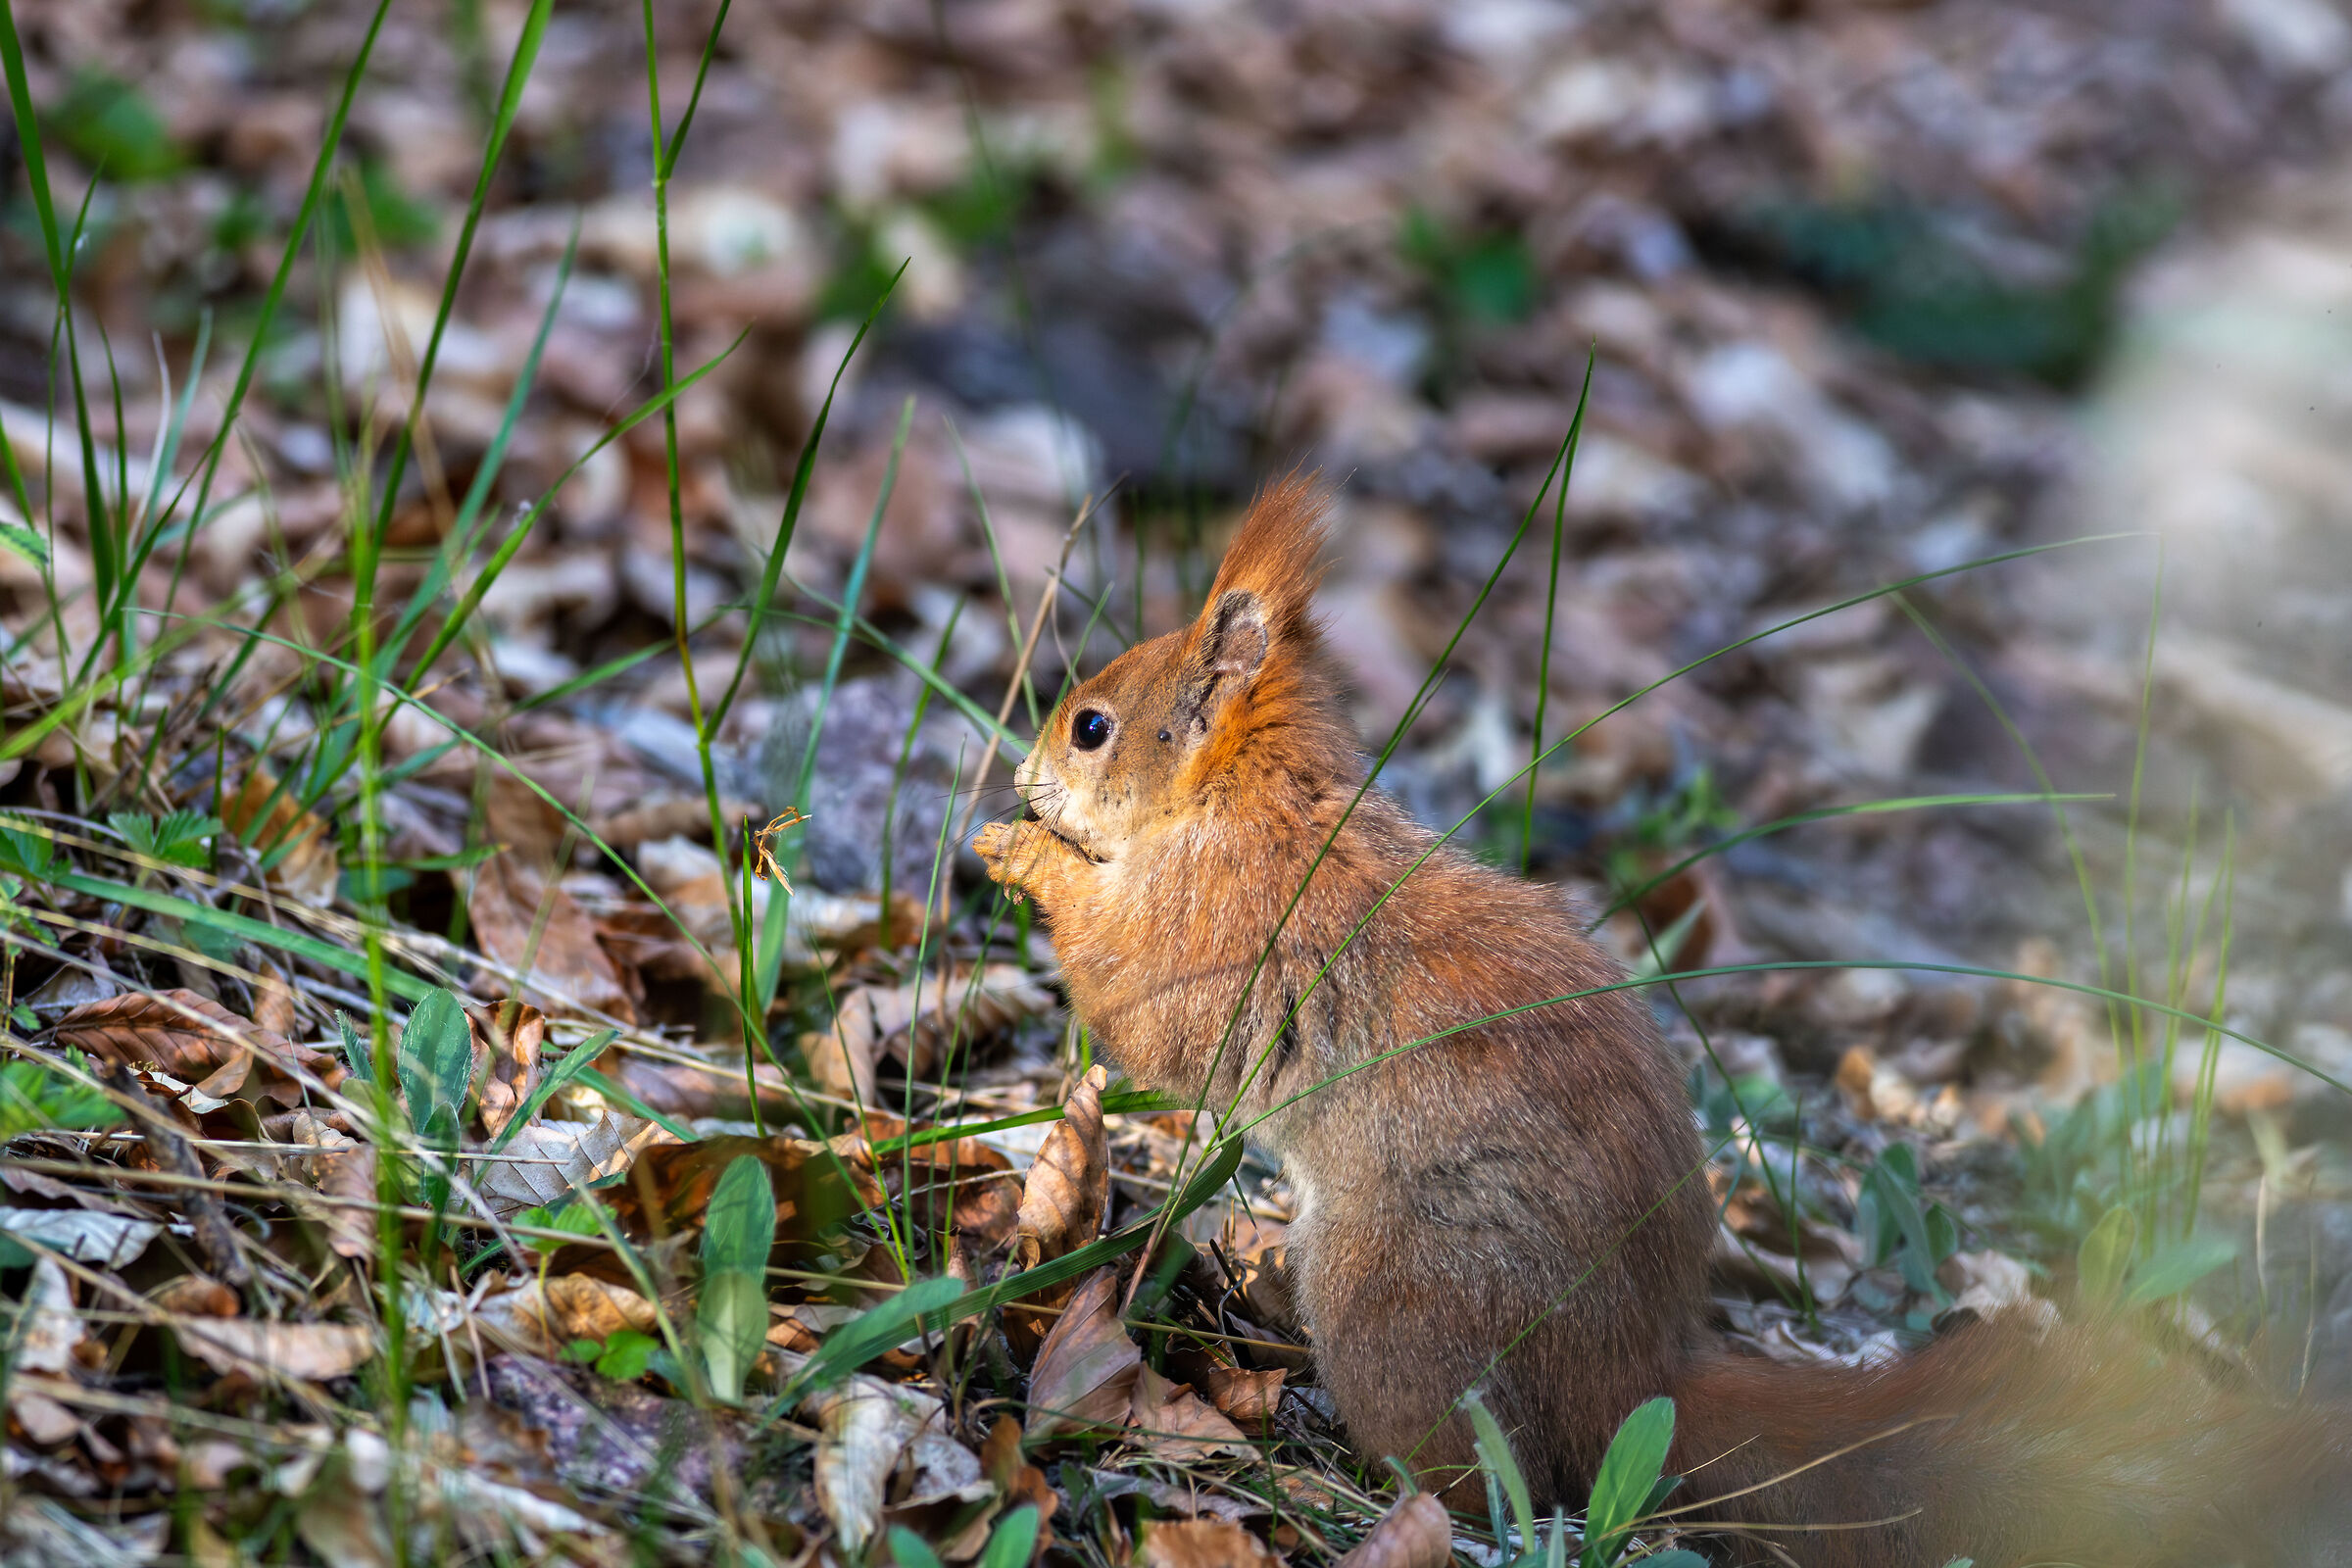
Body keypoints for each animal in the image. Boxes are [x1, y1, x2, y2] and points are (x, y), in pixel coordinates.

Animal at [973, 476, 2349, 1567]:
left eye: (1092, 725)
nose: (1023, 770)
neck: (1248, 809)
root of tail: (1638, 1375)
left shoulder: (1212, 935)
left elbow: (1129, 999)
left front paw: (1019, 853)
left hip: (1398, 1303)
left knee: (1471, 1469)